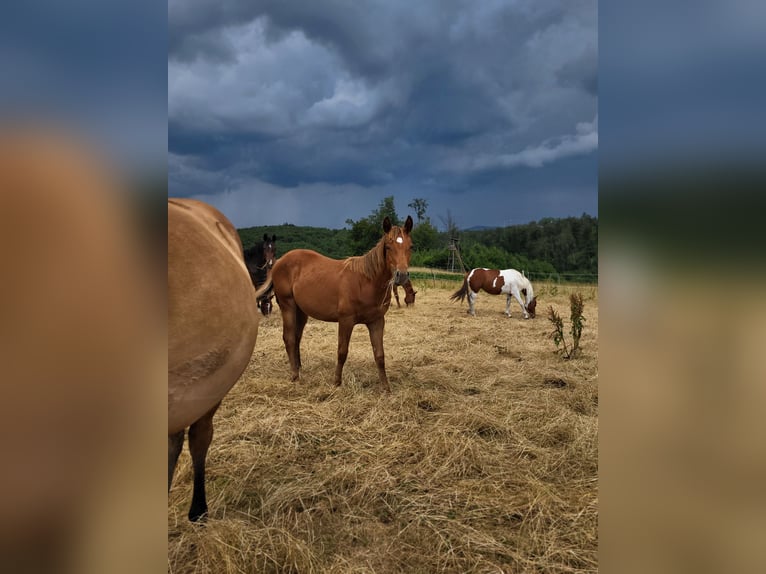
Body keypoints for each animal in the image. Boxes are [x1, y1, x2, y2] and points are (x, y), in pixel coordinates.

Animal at [259, 216, 413, 392]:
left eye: (411, 247)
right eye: (388, 246)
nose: (401, 275)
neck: (366, 282)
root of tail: (278, 263)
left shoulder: (377, 321)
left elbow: (379, 355)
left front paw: (386, 388)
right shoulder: (346, 321)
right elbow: (342, 352)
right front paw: (336, 382)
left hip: (301, 311)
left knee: (297, 337)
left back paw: (298, 368)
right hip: (288, 306)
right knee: (289, 338)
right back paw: (294, 376)